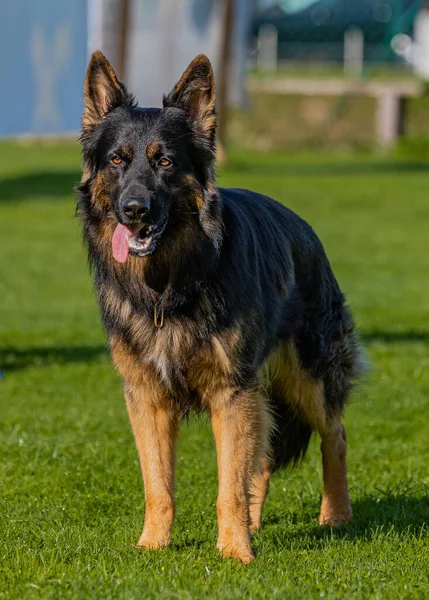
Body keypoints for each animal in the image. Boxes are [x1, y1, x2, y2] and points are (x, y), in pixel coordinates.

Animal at [77, 51, 362, 564]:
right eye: (117, 161)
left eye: (165, 162)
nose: (135, 210)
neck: (168, 287)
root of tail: (306, 231)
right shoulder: (147, 397)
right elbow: (158, 485)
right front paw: (153, 545)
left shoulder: (231, 392)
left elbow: (228, 485)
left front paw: (233, 553)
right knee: (263, 458)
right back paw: (256, 521)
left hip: (308, 378)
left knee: (335, 435)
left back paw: (335, 514)